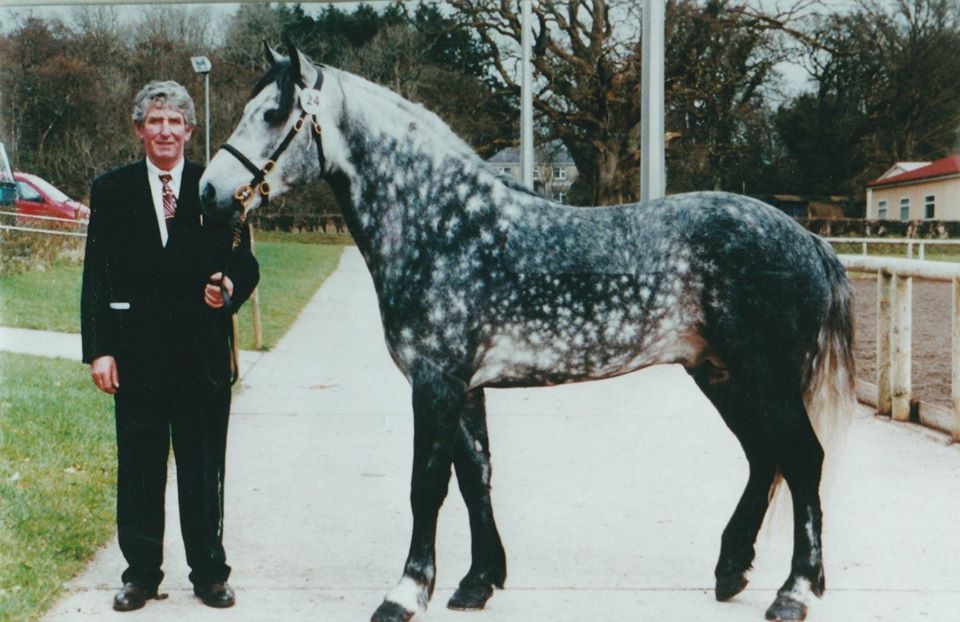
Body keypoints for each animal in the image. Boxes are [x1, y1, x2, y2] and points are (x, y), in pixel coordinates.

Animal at [201, 45, 856, 622]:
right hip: (720, 374)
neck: (443, 225)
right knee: (765, 457)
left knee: (803, 459)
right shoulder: (465, 386)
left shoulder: (435, 383)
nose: (209, 192)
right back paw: (732, 570)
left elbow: (426, 486)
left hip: (765, 377)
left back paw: (795, 592)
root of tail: (810, 240)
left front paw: (405, 595)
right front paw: (477, 582)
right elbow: (476, 478)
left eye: (272, 113)